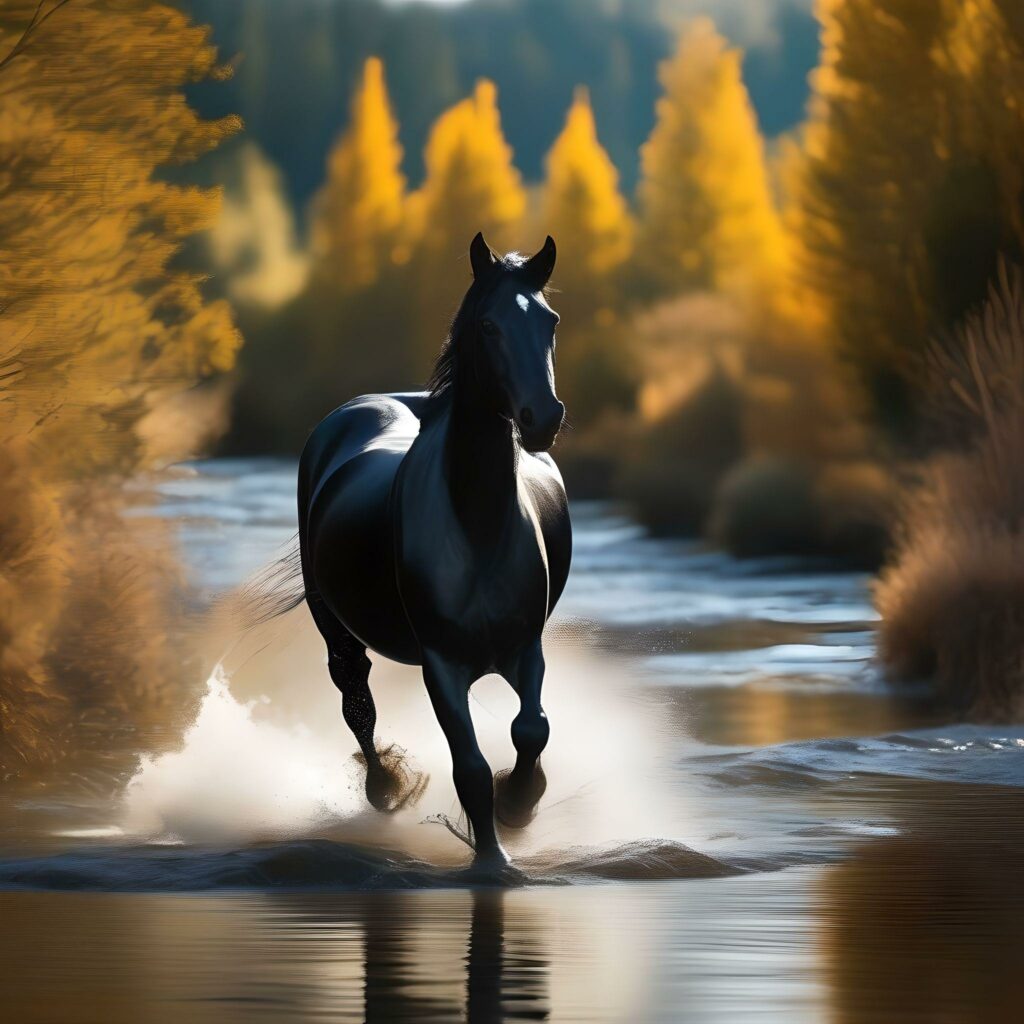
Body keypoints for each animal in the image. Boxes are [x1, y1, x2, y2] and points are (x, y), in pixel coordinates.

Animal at [296, 232, 571, 867]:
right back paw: (386, 788)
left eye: (549, 321)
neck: (477, 529)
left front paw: (519, 803)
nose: (543, 419)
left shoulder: (527, 648)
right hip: (334, 626)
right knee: (356, 701)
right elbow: (468, 766)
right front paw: (492, 859)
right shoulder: (441, 665)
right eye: (489, 325)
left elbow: (532, 728)